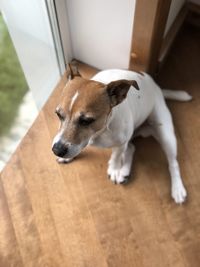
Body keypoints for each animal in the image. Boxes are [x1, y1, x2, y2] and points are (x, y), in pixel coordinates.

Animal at [52, 65, 192, 205]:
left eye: (86, 121)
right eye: (58, 114)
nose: (57, 150)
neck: (101, 131)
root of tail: (157, 88)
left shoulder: (120, 143)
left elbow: (116, 156)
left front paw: (114, 169)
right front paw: (68, 157)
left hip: (166, 134)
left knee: (173, 163)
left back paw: (177, 188)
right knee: (131, 148)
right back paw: (124, 171)